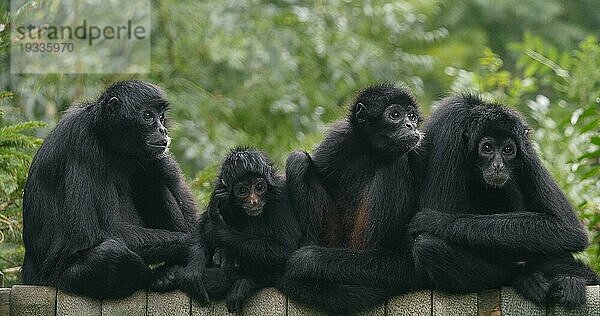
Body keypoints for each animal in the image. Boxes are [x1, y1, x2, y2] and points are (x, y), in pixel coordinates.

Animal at [410, 93, 596, 306]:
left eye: (508, 149)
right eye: (487, 147)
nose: (498, 165)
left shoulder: (526, 148)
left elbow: (568, 229)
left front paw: (438, 221)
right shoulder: (450, 128)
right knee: (428, 246)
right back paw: (523, 276)